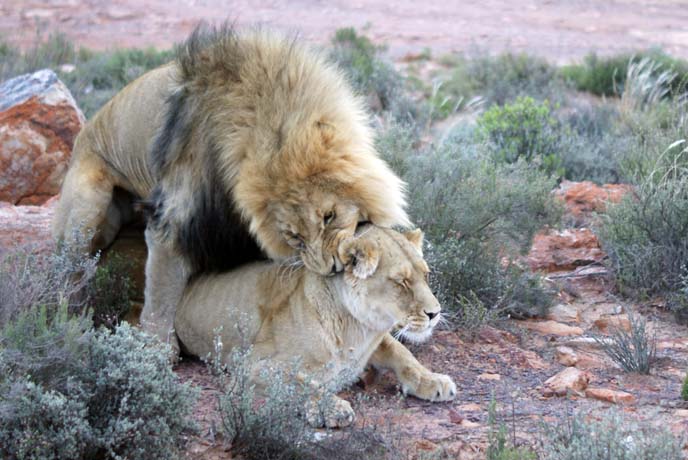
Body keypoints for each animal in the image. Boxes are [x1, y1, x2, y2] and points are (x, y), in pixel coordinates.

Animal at [55, 25, 408, 356]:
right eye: (294, 237)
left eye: (329, 216)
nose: (332, 268)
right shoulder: (174, 220)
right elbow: (161, 294)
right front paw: (156, 351)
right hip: (89, 203)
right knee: (69, 271)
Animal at [175, 226, 454, 428]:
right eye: (401, 282)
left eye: (426, 275)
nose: (435, 313)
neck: (358, 331)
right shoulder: (251, 367)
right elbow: (298, 382)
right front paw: (332, 408)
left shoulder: (376, 340)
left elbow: (402, 353)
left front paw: (433, 380)